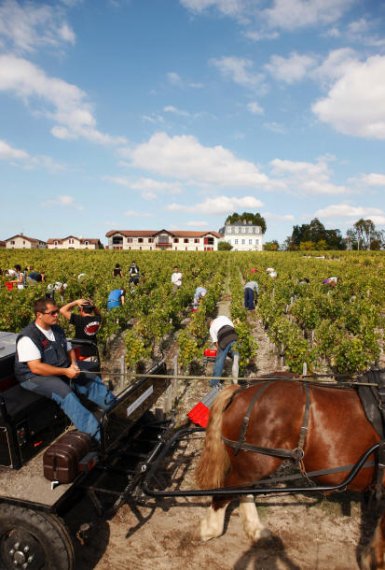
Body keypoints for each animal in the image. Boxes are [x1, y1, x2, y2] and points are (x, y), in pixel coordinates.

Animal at [196, 372, 384, 568]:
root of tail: (242, 391)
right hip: (256, 462)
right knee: (227, 491)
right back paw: (210, 529)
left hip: (251, 464)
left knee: (243, 490)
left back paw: (255, 530)